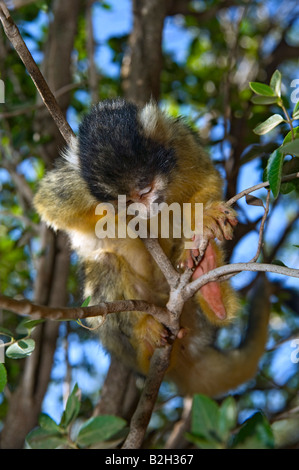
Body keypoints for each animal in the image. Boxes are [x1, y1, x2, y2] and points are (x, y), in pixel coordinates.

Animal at [34, 99, 270, 396]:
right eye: (125, 200)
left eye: (145, 190)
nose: (142, 209)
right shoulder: (79, 185)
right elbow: (48, 206)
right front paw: (119, 219)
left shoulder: (179, 142)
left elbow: (208, 179)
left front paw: (204, 217)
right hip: (121, 347)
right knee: (105, 264)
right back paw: (145, 333)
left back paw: (210, 284)